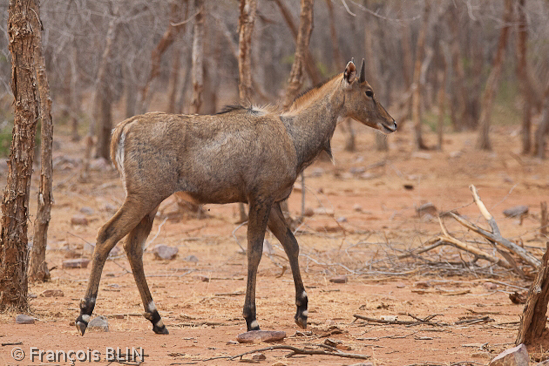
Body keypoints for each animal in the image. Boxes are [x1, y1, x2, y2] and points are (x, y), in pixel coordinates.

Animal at [76, 59, 394, 334]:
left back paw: (157, 320)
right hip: (142, 197)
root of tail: (123, 128)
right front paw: (252, 319)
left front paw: (302, 311)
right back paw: (84, 315)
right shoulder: (261, 199)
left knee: (133, 247)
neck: (292, 136)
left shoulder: (273, 203)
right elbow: (255, 252)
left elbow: (292, 245)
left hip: (151, 203)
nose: (391, 123)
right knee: (107, 235)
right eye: (369, 92)